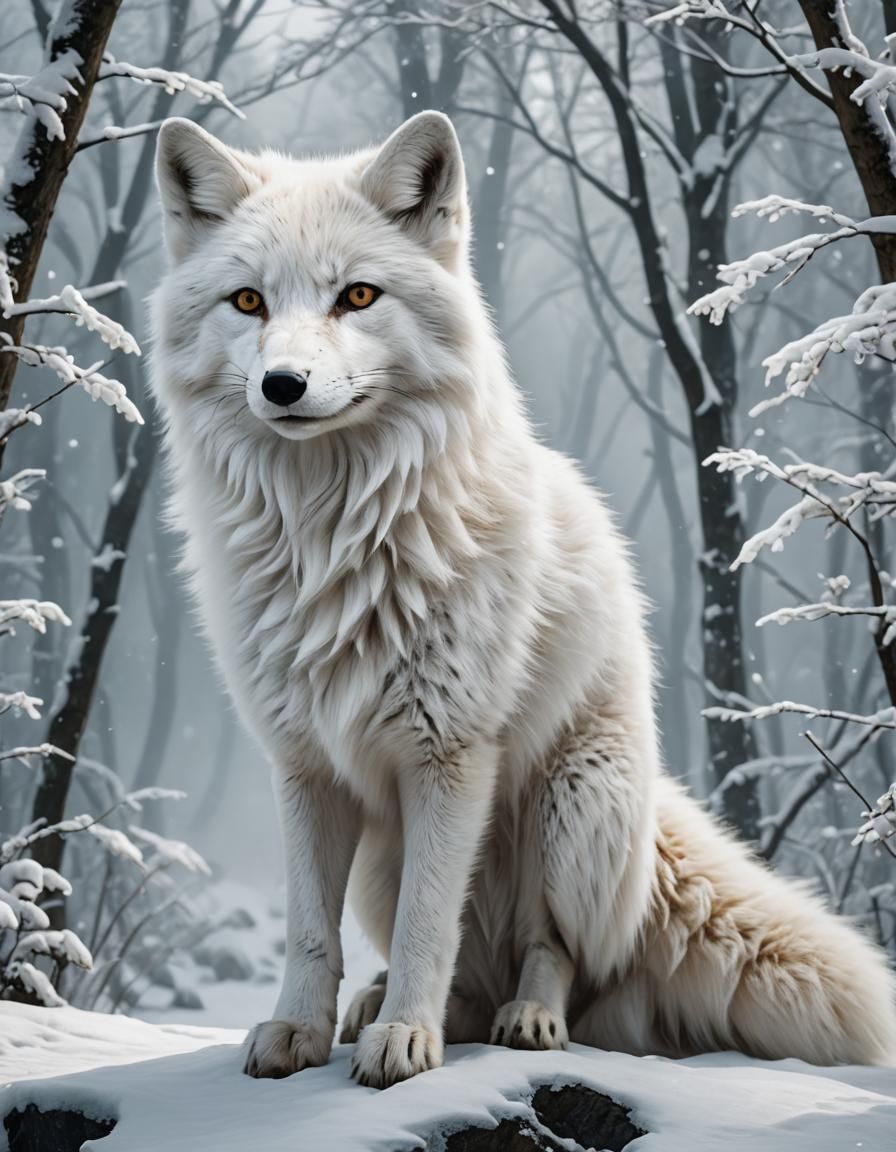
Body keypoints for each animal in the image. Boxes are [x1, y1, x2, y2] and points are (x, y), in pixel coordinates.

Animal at [150, 111, 896, 1087]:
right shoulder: (305, 766)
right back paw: (390, 1010)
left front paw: (405, 1044)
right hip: (385, 861)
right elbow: (311, 930)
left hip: (571, 805)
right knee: (469, 967)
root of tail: (656, 822)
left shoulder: (451, 754)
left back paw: (522, 1019)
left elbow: (430, 924)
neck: (330, 537)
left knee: (558, 957)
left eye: (357, 297)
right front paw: (298, 1033)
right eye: (247, 303)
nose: (284, 385)